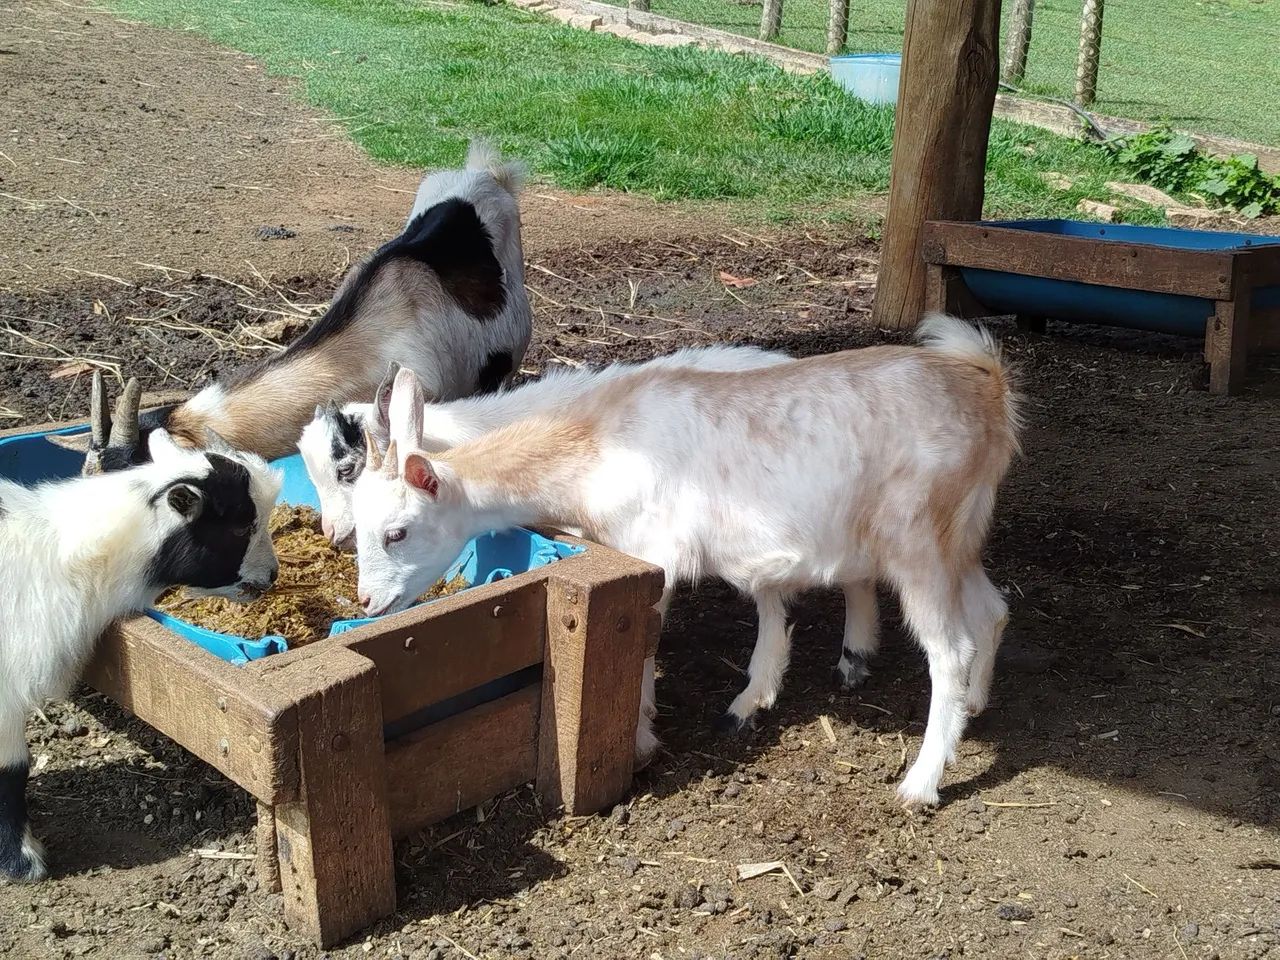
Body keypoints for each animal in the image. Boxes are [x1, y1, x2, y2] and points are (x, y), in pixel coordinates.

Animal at [351, 316, 1021, 807]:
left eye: (397, 532)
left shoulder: (655, 554)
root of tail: (989, 388)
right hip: (958, 536)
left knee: (949, 650)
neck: (596, 446)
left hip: (917, 539)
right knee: (992, 609)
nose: (367, 600)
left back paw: (921, 783)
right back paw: (975, 706)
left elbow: (648, 642)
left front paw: (642, 738)